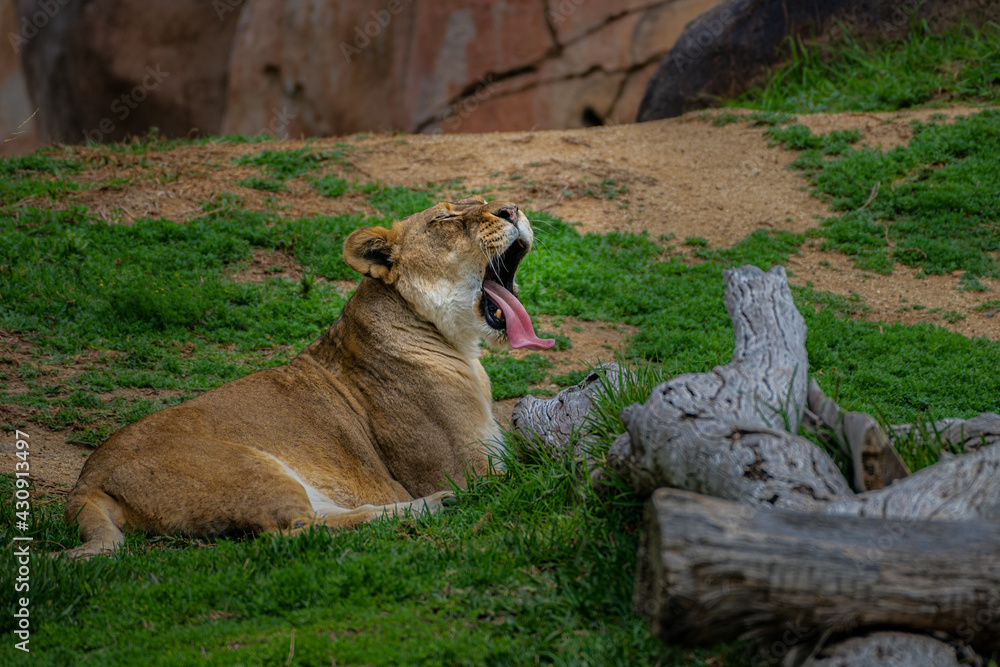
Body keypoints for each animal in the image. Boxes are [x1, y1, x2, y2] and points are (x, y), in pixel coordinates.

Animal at [63, 198, 554, 558]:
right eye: (446, 218)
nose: (512, 209)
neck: (459, 345)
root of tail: (87, 479)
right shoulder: (470, 471)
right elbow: (536, 474)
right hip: (250, 468)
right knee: (291, 532)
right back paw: (433, 506)